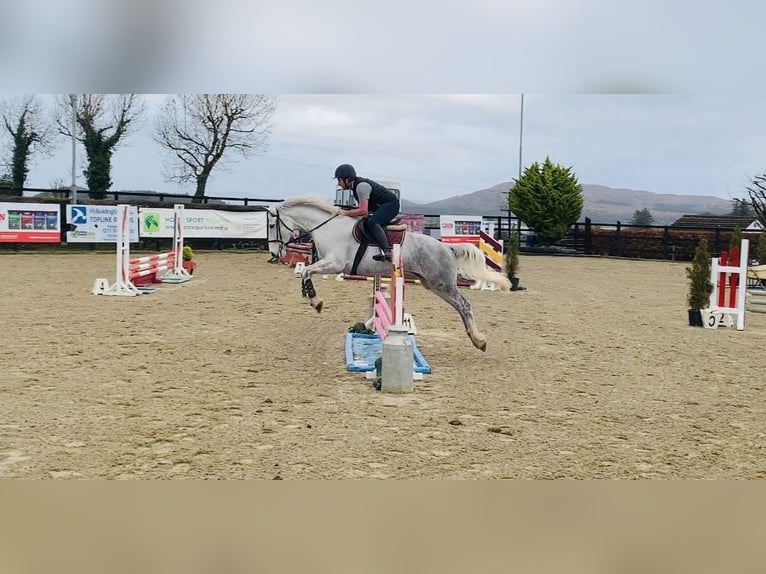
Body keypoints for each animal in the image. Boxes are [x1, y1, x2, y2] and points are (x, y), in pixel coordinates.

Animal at [268, 197, 512, 352]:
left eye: (271, 225)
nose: (273, 254)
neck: (328, 227)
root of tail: (446, 247)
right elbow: (305, 272)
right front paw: (310, 297)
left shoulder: (335, 264)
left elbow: (307, 271)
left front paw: (316, 301)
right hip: (432, 284)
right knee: (461, 307)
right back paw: (474, 338)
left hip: (442, 283)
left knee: (465, 305)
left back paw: (478, 340)